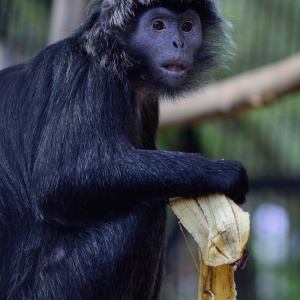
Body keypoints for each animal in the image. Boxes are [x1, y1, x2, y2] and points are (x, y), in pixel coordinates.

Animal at [0, 0, 248, 300]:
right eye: (158, 25)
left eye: (188, 27)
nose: (178, 42)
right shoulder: (89, 76)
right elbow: (59, 181)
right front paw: (221, 173)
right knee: (144, 215)